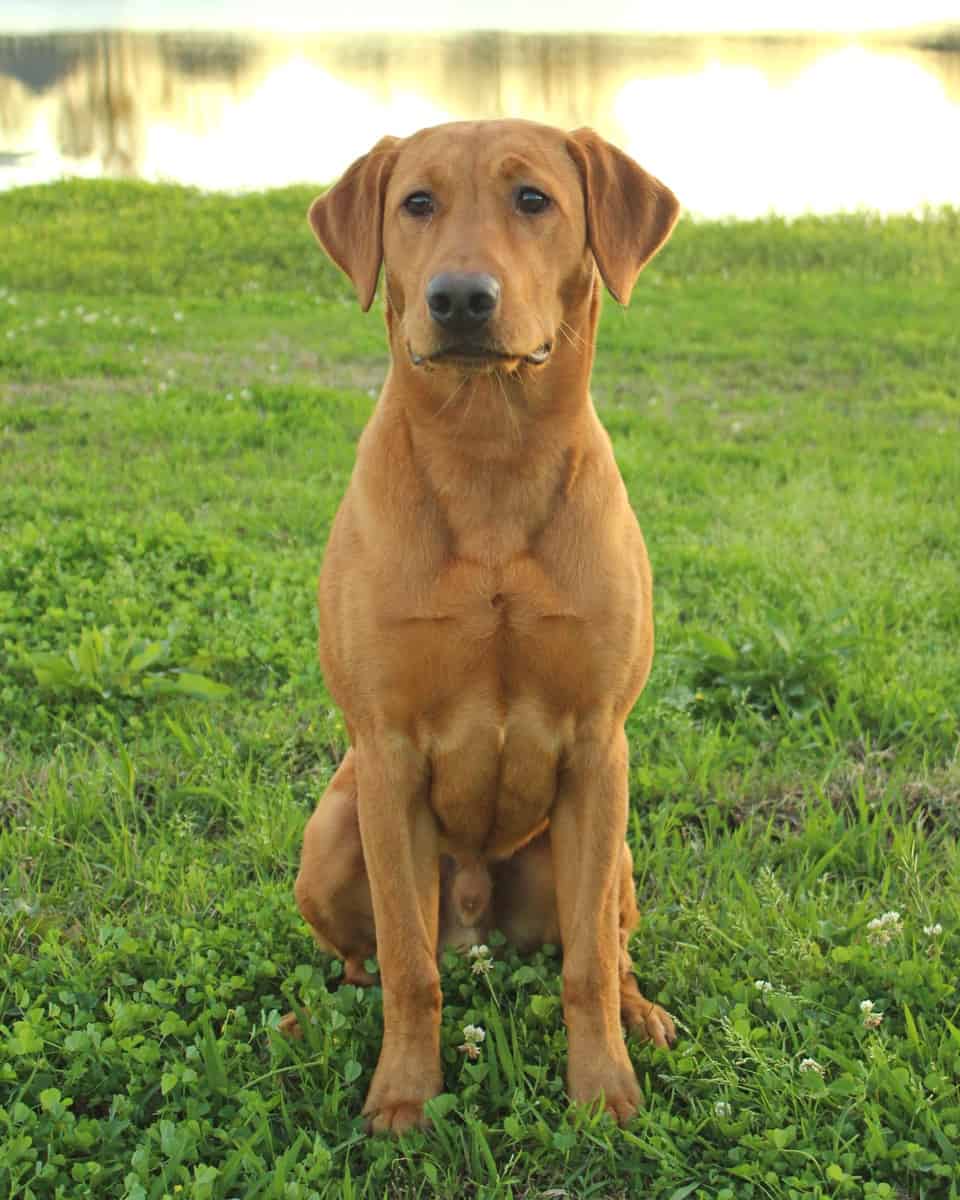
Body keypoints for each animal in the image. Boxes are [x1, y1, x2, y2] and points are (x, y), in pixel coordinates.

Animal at [289, 121, 676, 1132]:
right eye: (415, 203)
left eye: (533, 199)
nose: (460, 299)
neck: (490, 454)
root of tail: (475, 921)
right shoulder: (385, 757)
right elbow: (408, 968)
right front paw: (402, 1095)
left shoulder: (599, 747)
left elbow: (586, 963)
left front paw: (603, 1089)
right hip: (331, 836)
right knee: (375, 960)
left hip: (612, 848)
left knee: (608, 943)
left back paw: (640, 1012)